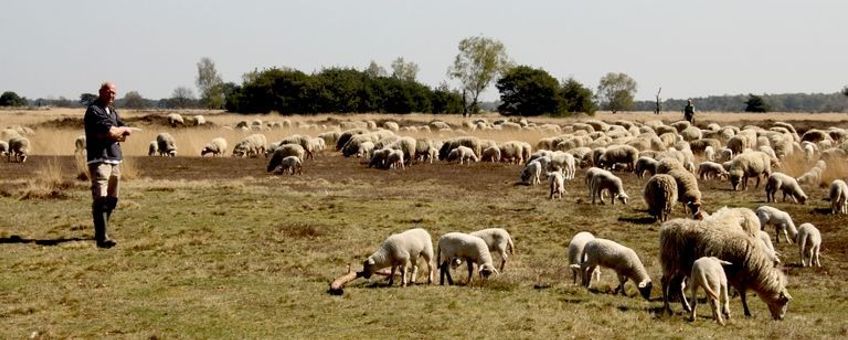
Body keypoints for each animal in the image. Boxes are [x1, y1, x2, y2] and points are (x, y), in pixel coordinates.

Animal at [660, 218, 792, 318]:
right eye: (784, 302)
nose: (780, 318)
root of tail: (667, 225)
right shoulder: (735, 276)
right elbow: (742, 295)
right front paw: (746, 312)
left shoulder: (731, 275)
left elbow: (728, 291)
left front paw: (725, 310)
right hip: (670, 261)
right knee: (664, 282)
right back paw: (668, 309)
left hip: (682, 266)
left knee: (678, 284)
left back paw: (686, 307)